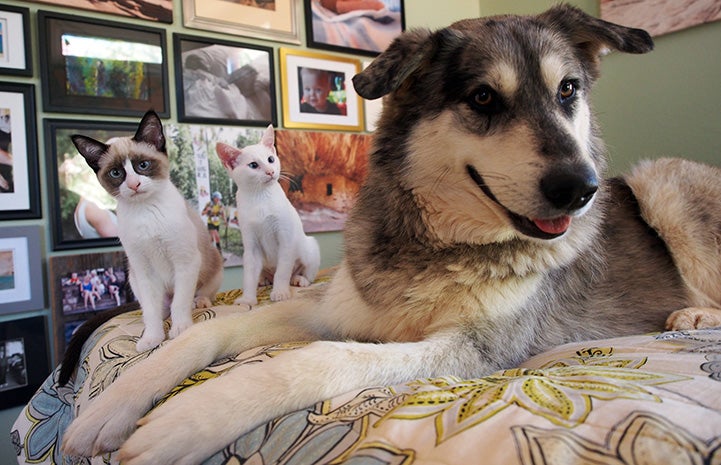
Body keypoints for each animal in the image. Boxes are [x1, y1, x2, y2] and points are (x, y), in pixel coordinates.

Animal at [71, 110, 222, 350]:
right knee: (157, 308)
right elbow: (151, 312)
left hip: (211, 262)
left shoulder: (185, 261)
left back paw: (199, 302)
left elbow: (180, 303)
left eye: (143, 165)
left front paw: (180, 330)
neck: (146, 212)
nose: (134, 184)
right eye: (116, 173)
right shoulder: (144, 270)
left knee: (193, 296)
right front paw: (152, 339)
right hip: (133, 275)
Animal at [215, 123, 320, 304]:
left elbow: (282, 271)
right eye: (253, 165)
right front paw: (247, 300)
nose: (271, 171)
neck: (260, 197)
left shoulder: (285, 239)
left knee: (306, 272)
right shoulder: (251, 246)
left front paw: (280, 292)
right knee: (265, 274)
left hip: (309, 248)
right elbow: (249, 276)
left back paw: (299, 279)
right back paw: (263, 280)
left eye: (271, 159)